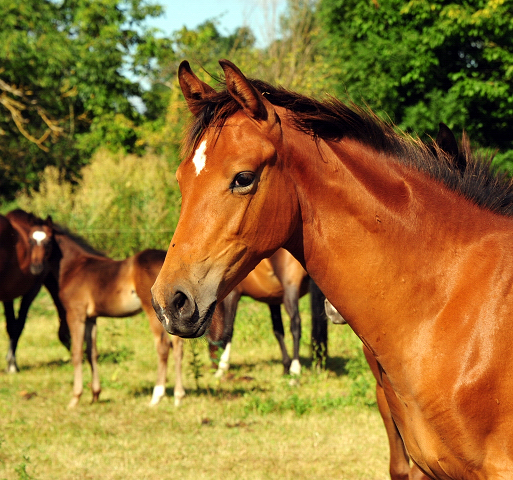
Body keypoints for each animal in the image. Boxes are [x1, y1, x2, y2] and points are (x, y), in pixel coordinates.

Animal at [0, 209, 69, 372]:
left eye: (48, 242)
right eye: (31, 242)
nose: (36, 268)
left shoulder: (7, 295)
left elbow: (10, 325)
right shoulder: (32, 290)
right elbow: (18, 325)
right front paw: (12, 364)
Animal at [47, 227, 185, 406]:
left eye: (45, 240)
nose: (34, 267)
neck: (75, 267)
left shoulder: (76, 314)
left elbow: (77, 353)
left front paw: (75, 398)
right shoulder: (91, 319)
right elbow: (92, 353)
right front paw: (95, 394)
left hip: (153, 312)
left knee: (163, 346)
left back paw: (157, 396)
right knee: (177, 346)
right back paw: (178, 396)